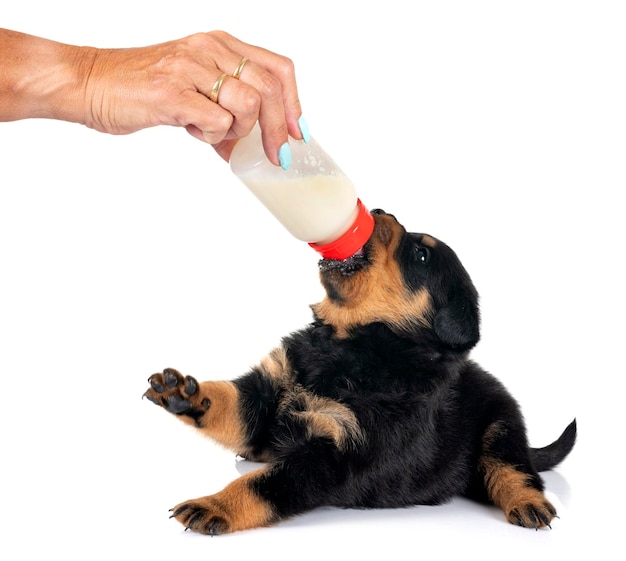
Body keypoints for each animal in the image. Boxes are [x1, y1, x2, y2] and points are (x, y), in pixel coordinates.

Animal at [144, 209, 572, 532]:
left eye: (420, 255)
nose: (380, 210)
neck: (349, 341)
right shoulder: (268, 391)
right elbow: (227, 402)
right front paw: (183, 392)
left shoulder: (339, 455)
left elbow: (264, 484)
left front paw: (214, 505)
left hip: (500, 423)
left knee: (513, 467)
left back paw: (528, 502)